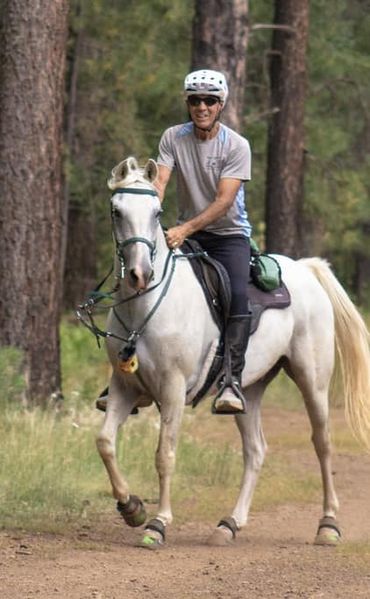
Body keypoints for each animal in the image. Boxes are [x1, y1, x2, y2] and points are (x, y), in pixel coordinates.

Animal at [92, 157, 370, 552]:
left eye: (156, 212)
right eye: (117, 211)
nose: (140, 274)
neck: (143, 308)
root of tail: (304, 268)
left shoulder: (173, 389)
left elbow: (165, 454)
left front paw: (157, 525)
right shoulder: (124, 386)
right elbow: (105, 442)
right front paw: (131, 508)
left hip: (312, 380)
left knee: (323, 444)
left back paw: (328, 525)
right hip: (249, 390)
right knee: (255, 450)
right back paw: (229, 524)